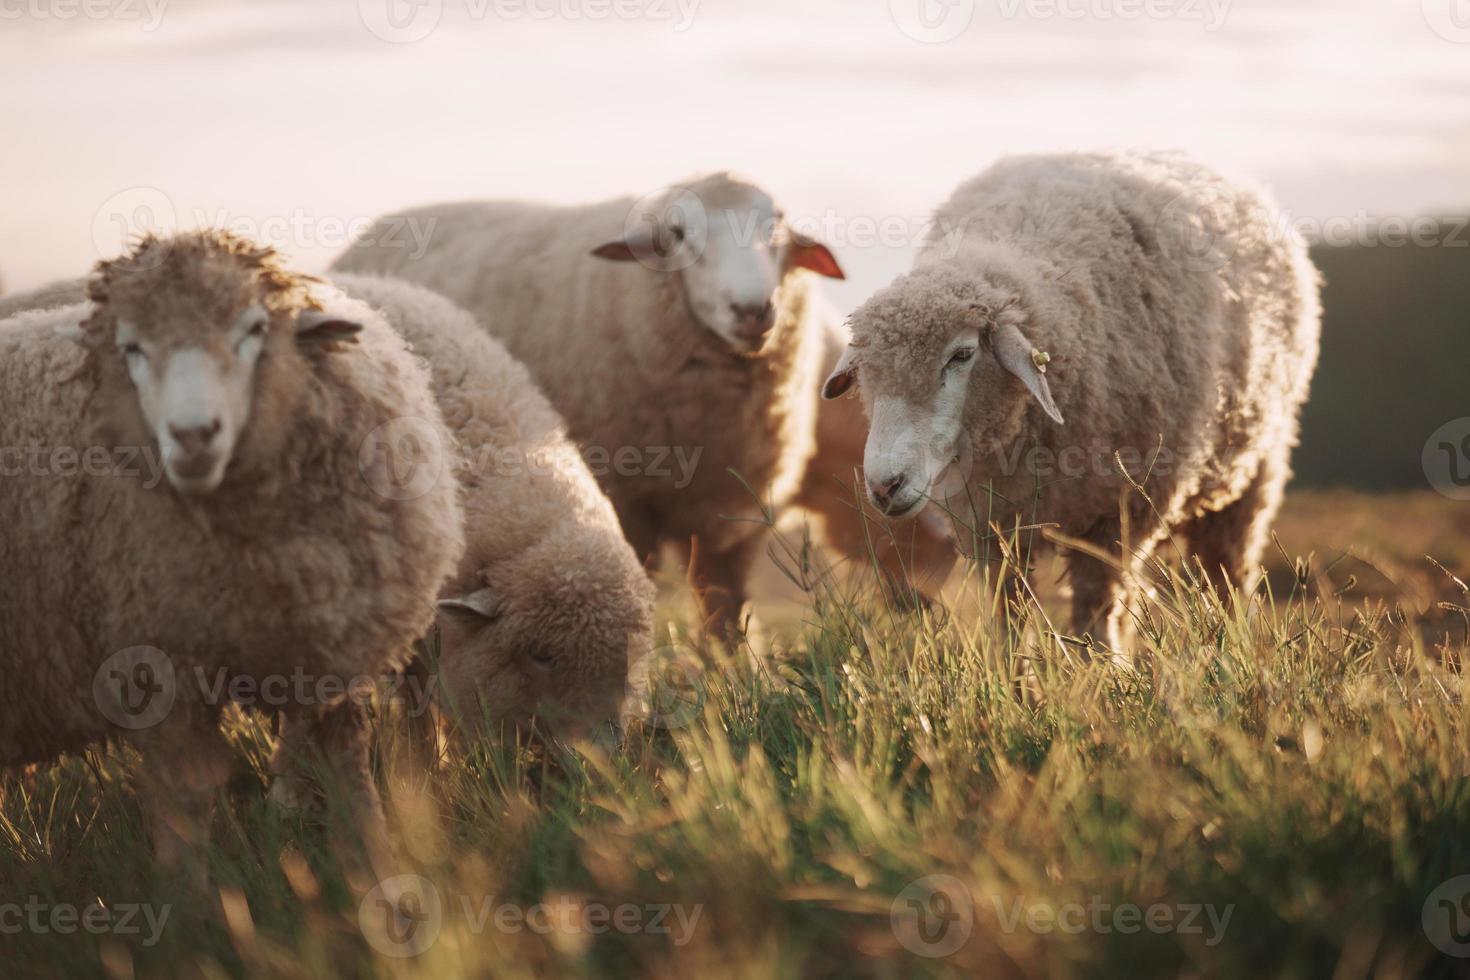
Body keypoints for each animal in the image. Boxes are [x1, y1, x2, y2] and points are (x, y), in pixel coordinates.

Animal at [0, 232, 464, 887]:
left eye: (253, 330)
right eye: (130, 348)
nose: (193, 435)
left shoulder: (328, 650)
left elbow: (349, 769)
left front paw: (374, 873)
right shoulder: (159, 664)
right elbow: (187, 804)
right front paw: (192, 901)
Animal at [327, 172, 846, 637]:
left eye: (776, 227)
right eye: (678, 234)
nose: (752, 311)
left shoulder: (738, 521)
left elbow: (726, 622)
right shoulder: (627, 504)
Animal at [829, 149, 1323, 646]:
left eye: (962, 354)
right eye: (866, 371)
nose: (884, 486)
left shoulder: (1116, 516)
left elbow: (1095, 611)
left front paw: (1106, 665)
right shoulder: (995, 525)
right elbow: (1009, 613)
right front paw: (1015, 668)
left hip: (1254, 471)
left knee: (1224, 578)